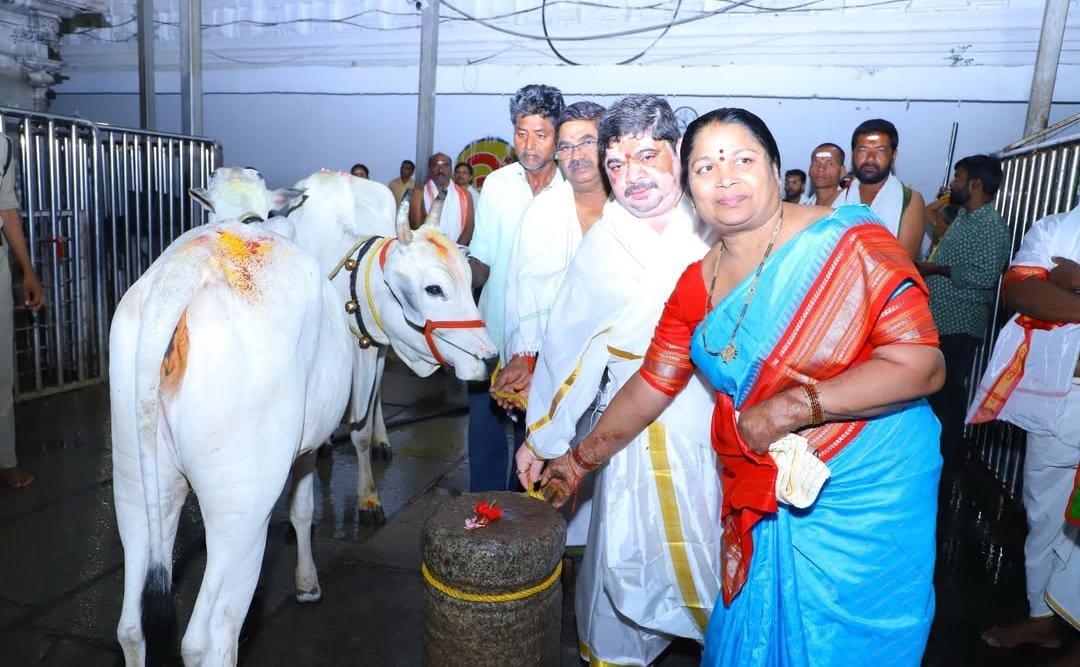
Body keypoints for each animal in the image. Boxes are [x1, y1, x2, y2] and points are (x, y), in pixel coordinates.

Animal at [112, 176, 495, 665]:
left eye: (469, 278)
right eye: (434, 289)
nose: (489, 357)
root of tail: (179, 280)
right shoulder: (314, 429)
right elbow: (313, 493)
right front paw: (315, 573)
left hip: (137, 485)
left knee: (131, 627)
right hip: (240, 510)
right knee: (207, 637)